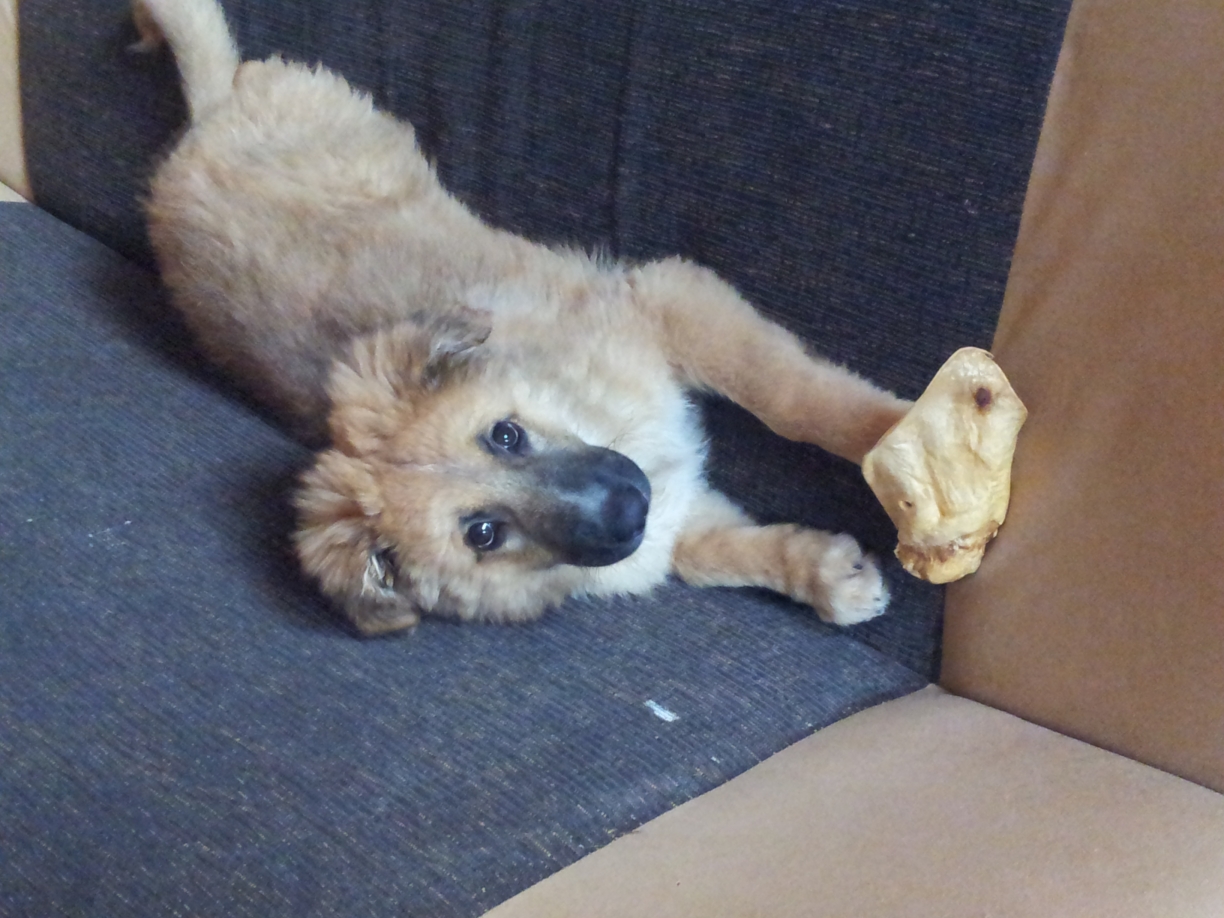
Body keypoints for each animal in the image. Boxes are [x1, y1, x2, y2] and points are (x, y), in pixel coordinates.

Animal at [134, 0, 912, 634]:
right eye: (483, 533)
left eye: (504, 434)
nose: (627, 506)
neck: (583, 408)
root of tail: (202, 121)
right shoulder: (664, 513)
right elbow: (713, 552)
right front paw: (823, 574)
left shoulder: (670, 301)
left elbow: (796, 400)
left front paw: (895, 432)